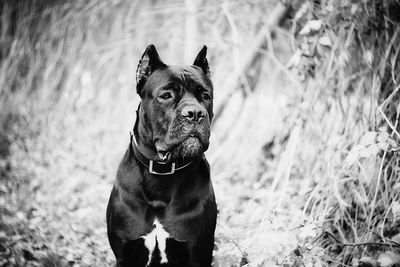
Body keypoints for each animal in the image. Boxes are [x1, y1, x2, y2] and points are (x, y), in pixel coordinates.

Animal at [106, 44, 217, 267]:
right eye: (166, 95)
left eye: (205, 96)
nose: (195, 113)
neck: (162, 173)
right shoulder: (125, 253)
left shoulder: (198, 252)